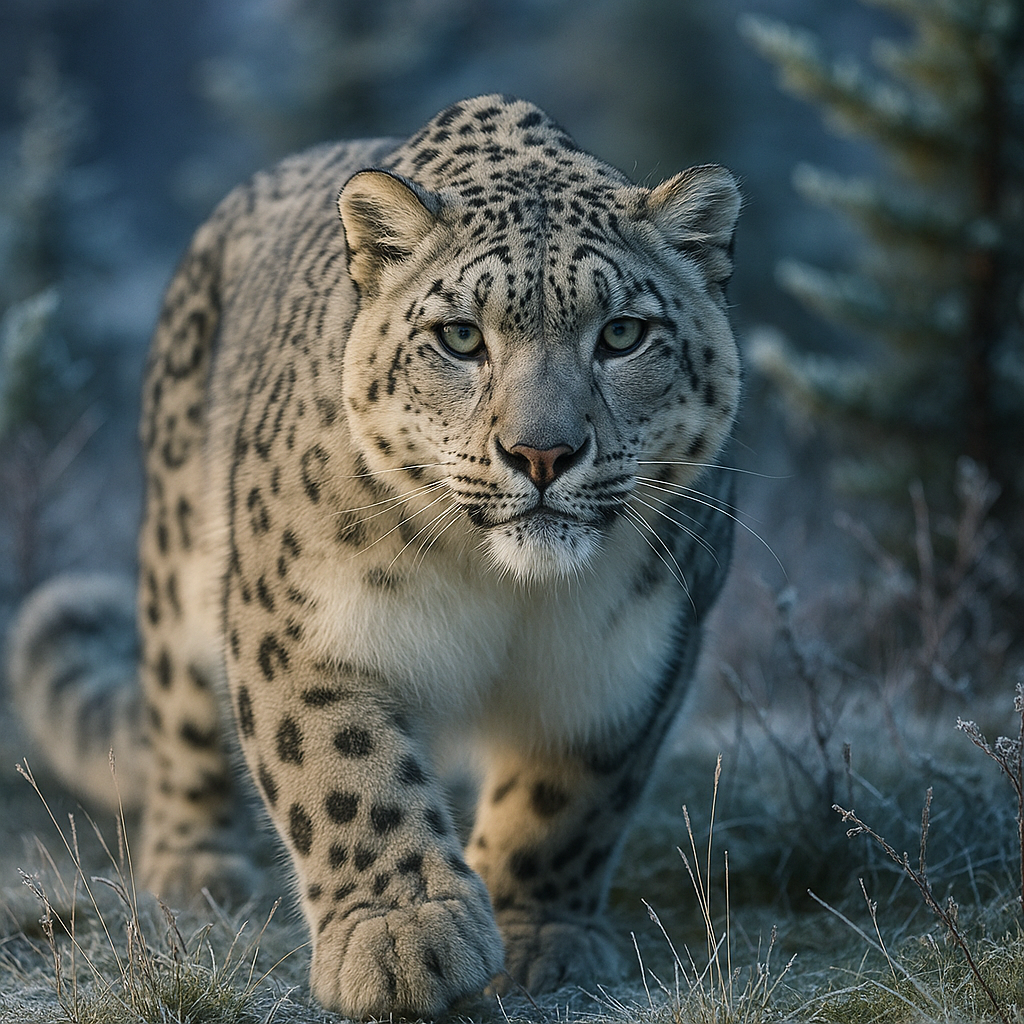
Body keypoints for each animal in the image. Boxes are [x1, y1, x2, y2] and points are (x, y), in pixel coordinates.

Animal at [7, 95, 741, 1018]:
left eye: (622, 334)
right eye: (460, 336)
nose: (541, 453)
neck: (507, 591)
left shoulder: (631, 655)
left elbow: (565, 803)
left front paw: (538, 936)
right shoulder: (305, 619)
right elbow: (344, 771)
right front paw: (402, 939)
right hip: (176, 562)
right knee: (179, 712)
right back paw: (194, 867)